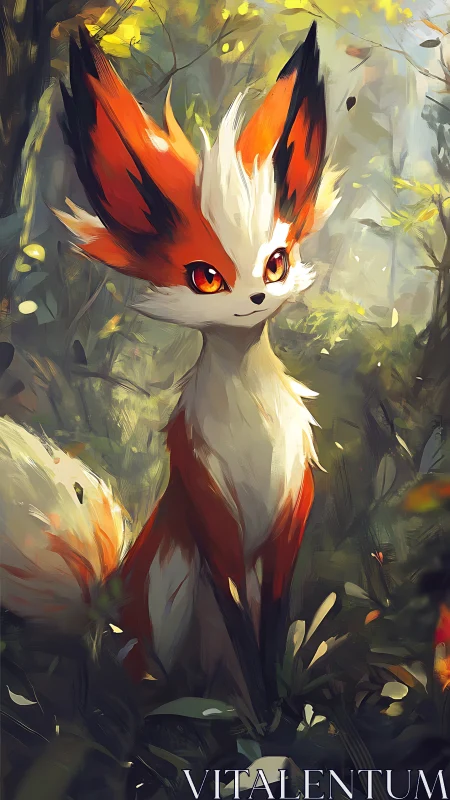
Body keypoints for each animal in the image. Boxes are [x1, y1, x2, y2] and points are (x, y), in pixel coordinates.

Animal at [0, 23, 339, 706]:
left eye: (277, 262)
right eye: (205, 277)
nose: (256, 299)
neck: (253, 433)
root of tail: (102, 611)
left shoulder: (291, 514)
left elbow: (271, 627)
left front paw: (277, 708)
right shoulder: (211, 517)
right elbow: (241, 629)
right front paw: (263, 713)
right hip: (168, 586)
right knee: (147, 682)